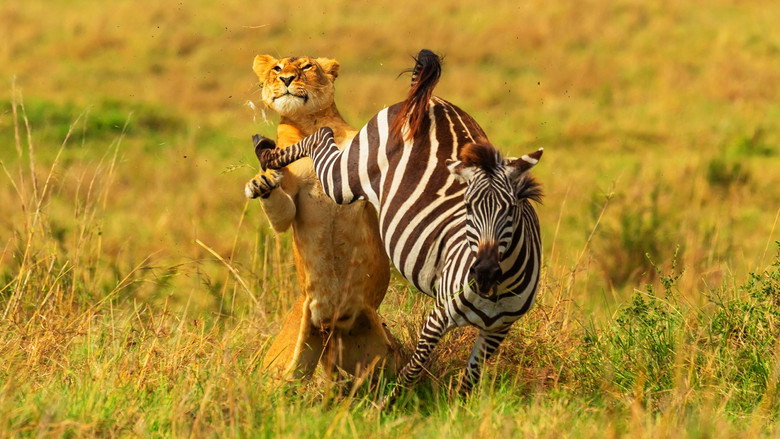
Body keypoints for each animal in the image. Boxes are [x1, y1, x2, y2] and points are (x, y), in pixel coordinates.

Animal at [245, 54, 400, 378]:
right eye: (277, 68)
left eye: (306, 67)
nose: (287, 79)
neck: (309, 126)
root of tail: (332, 327)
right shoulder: (290, 198)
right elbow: (281, 211)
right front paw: (261, 183)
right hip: (283, 366)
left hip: (385, 352)